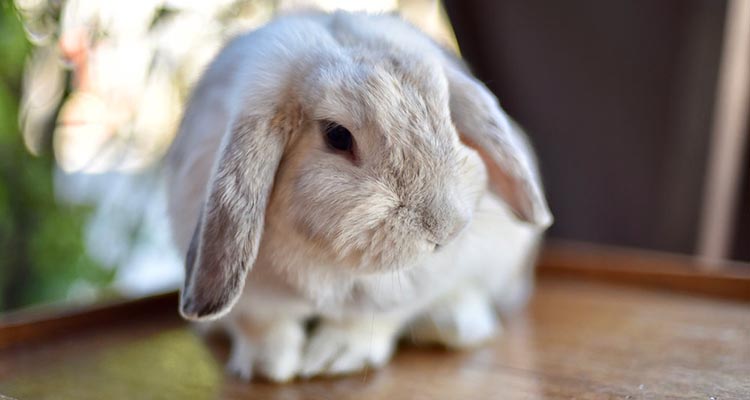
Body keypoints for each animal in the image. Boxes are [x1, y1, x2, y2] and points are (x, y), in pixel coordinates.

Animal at [166, 10, 552, 382]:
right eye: (337, 136)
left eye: (450, 122)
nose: (445, 231)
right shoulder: (254, 301)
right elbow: (262, 325)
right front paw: (267, 367)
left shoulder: (405, 289)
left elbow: (368, 321)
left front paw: (331, 358)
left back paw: (452, 324)